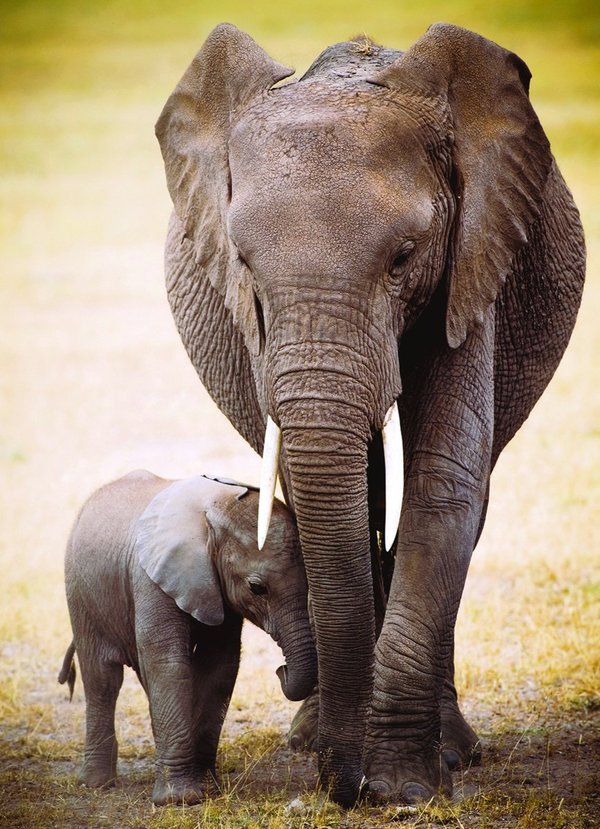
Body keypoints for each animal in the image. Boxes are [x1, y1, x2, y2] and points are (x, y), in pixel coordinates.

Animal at [58, 468, 316, 804]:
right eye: (256, 587)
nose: (280, 669)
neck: (215, 509)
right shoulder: (150, 578)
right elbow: (169, 663)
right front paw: (179, 800)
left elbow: (219, 665)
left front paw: (207, 788)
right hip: (80, 593)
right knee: (102, 678)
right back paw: (96, 784)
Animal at [155, 24, 584, 804]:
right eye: (243, 263)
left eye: (404, 257)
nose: (341, 785)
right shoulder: (258, 328)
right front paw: (359, 768)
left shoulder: (472, 262)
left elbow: (444, 484)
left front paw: (403, 789)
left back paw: (452, 751)